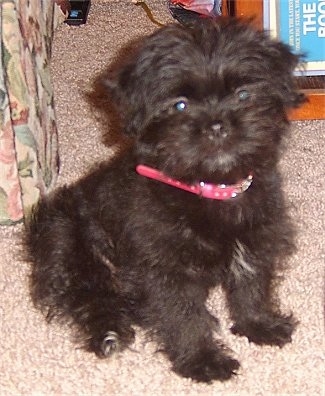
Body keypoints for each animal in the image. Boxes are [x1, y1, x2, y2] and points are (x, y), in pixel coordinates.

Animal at [26, 19, 304, 384]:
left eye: (243, 94)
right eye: (180, 104)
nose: (217, 125)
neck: (210, 189)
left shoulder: (257, 240)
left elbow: (251, 289)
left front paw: (259, 326)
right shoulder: (164, 268)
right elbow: (183, 316)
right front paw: (203, 360)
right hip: (64, 238)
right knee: (86, 295)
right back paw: (108, 332)